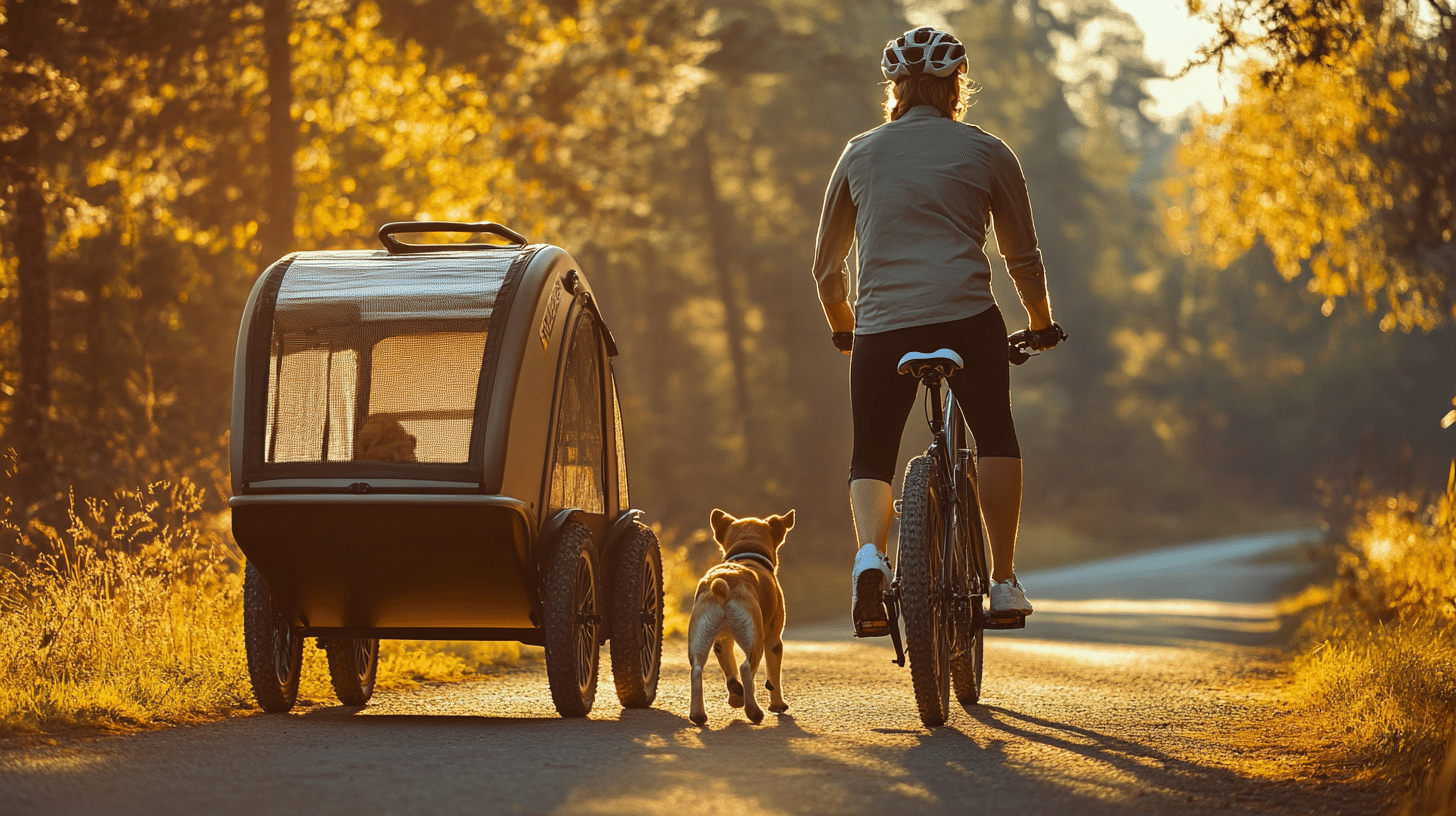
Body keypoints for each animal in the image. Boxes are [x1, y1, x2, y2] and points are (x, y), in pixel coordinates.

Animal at [684, 510, 792, 725]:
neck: (747, 554)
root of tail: (724, 586)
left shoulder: (723, 640)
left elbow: (729, 667)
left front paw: (735, 697)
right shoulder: (774, 641)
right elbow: (774, 677)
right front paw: (778, 705)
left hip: (701, 635)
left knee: (698, 669)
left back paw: (699, 714)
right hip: (755, 639)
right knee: (746, 668)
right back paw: (754, 712)